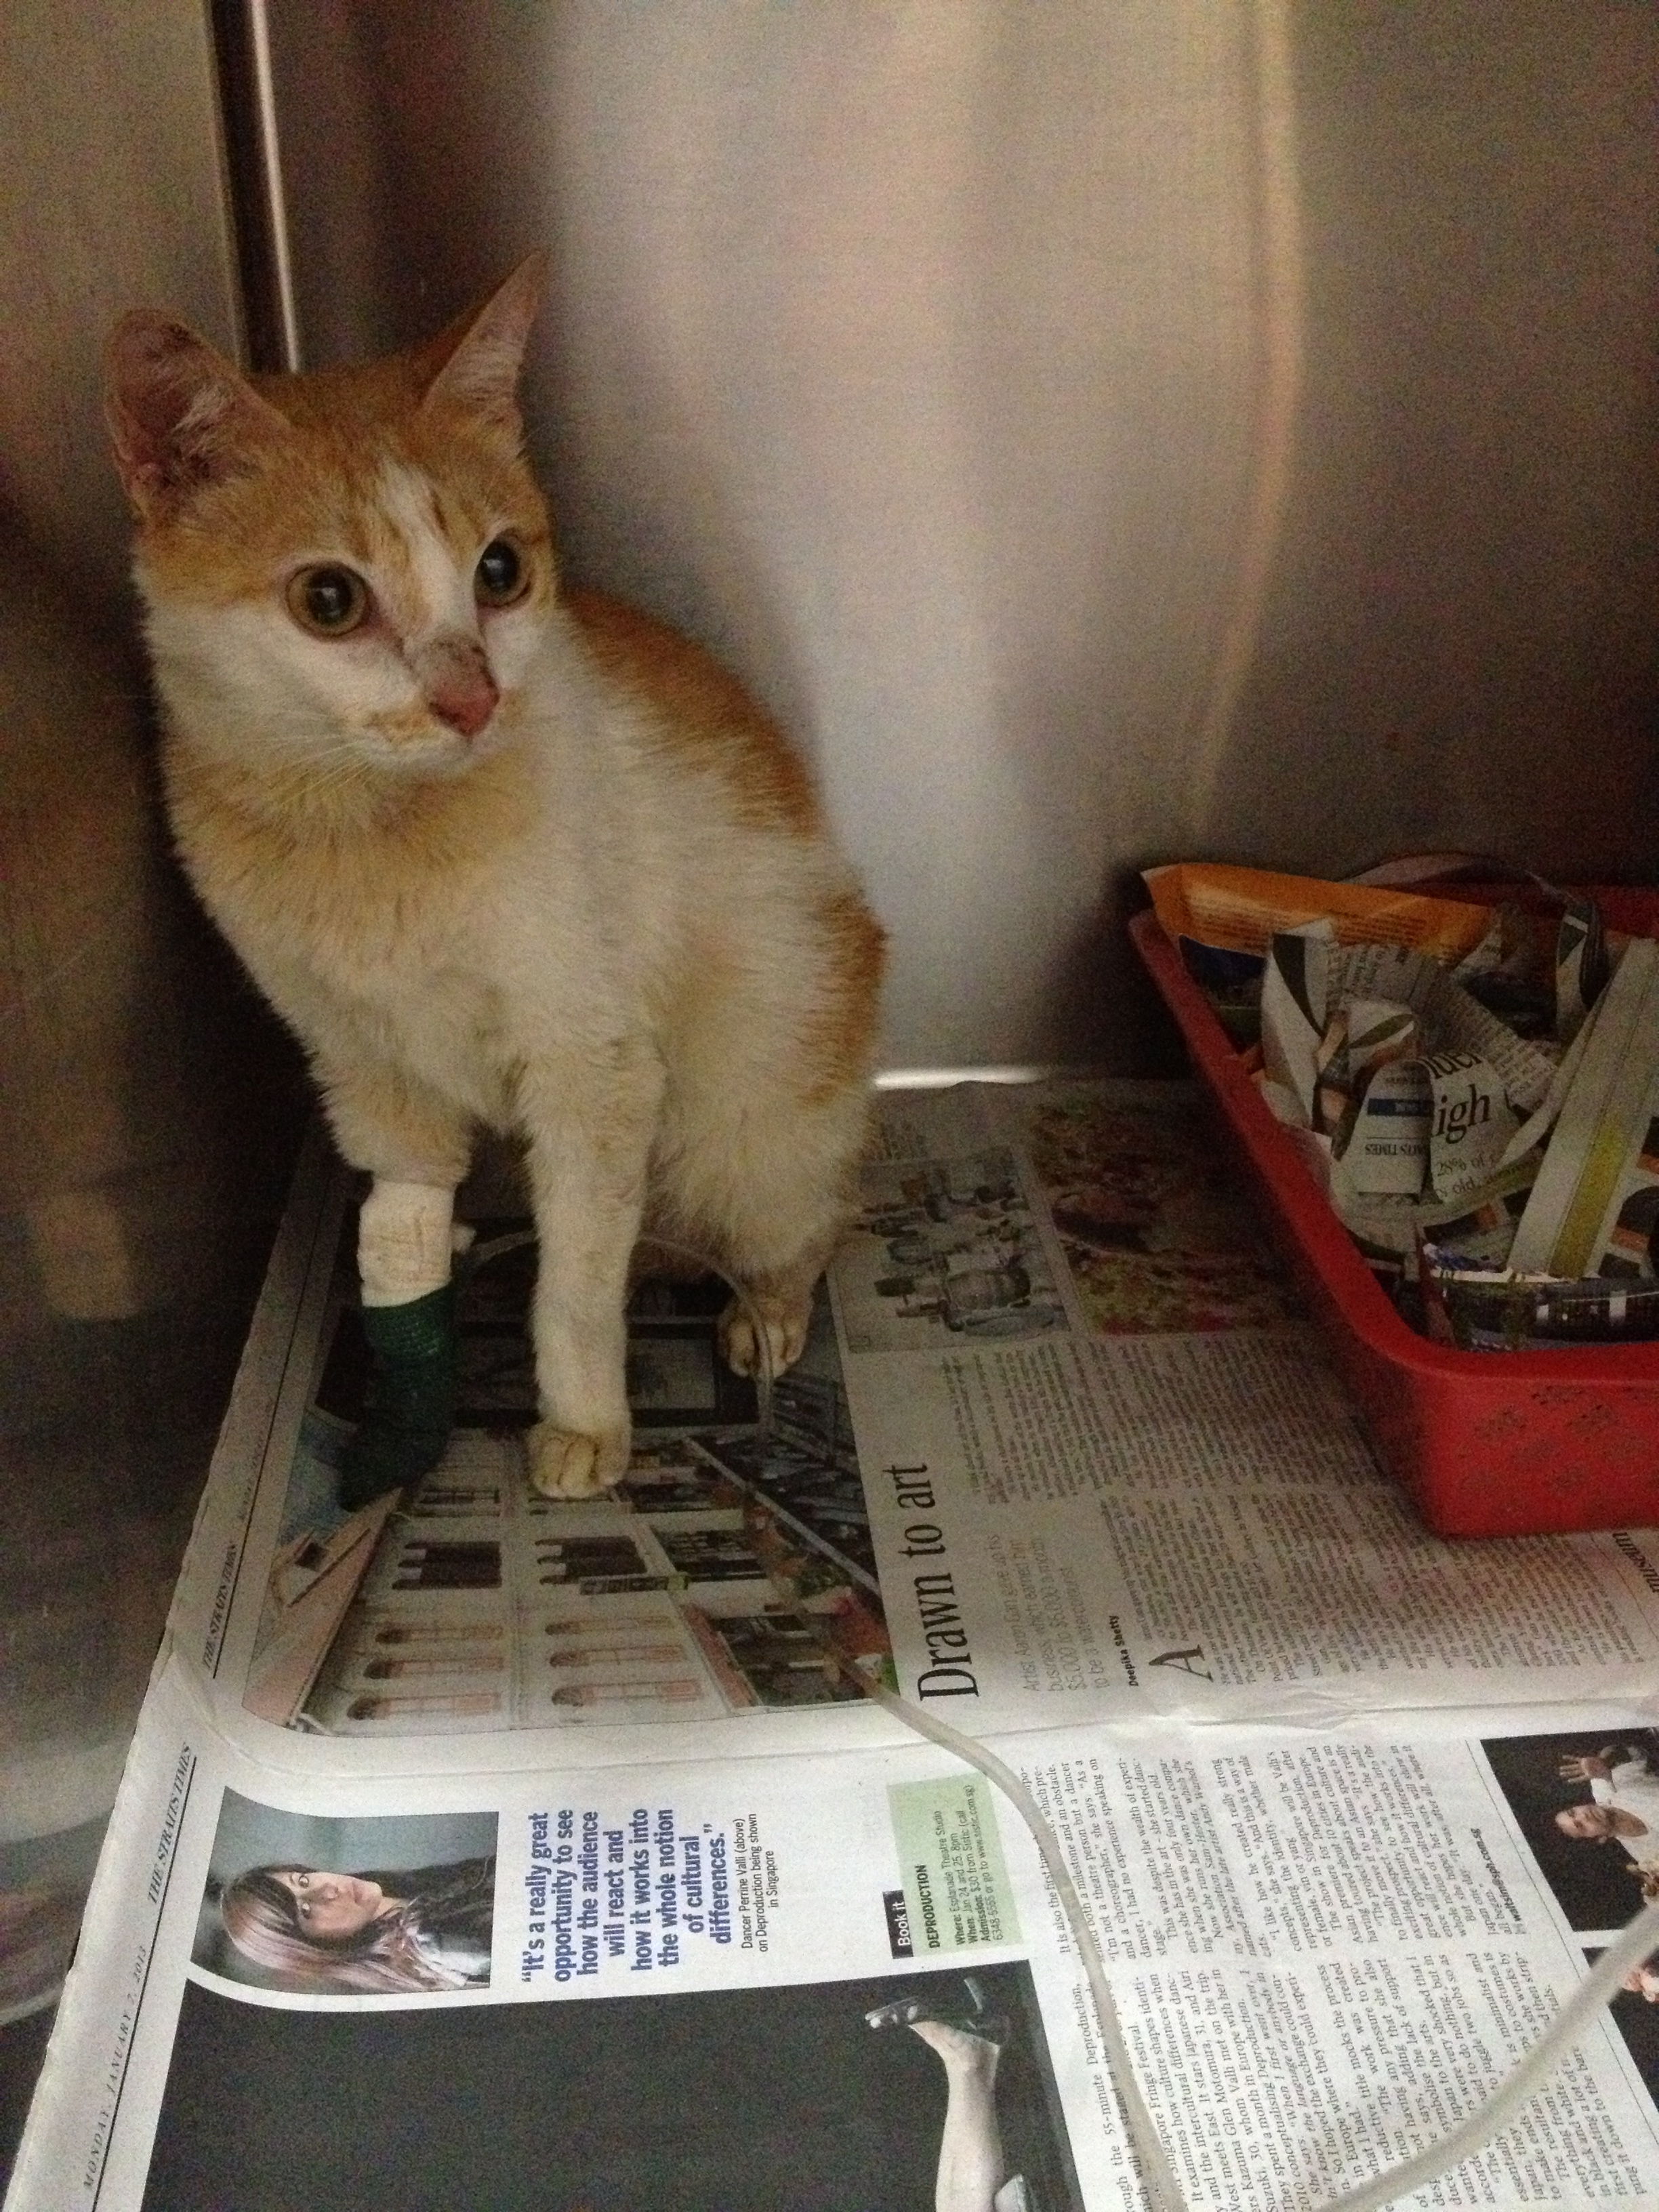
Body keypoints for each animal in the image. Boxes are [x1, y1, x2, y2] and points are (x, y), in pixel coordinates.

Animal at [104, 256, 884, 1501]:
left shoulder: (593, 1068)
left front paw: (582, 1422)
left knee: (802, 1225)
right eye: (330, 599)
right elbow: (404, 1221)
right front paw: (407, 1364)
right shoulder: (361, 1067)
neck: (367, 835)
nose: (471, 700)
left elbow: (575, 1283)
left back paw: (762, 1313)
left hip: (753, 1117)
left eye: (502, 571)